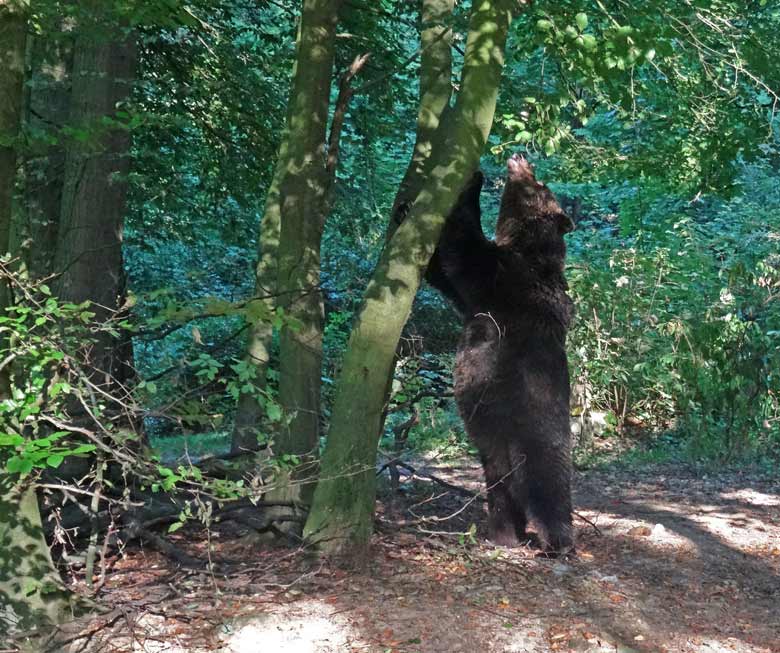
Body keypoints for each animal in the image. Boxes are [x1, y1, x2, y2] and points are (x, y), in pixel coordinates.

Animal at [426, 154, 572, 556]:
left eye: (539, 184)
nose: (520, 155)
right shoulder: (474, 297)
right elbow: (443, 273)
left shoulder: (505, 277)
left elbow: (464, 249)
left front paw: (469, 181)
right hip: (493, 440)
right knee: (501, 487)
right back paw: (505, 533)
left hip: (533, 424)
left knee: (548, 485)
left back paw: (558, 540)